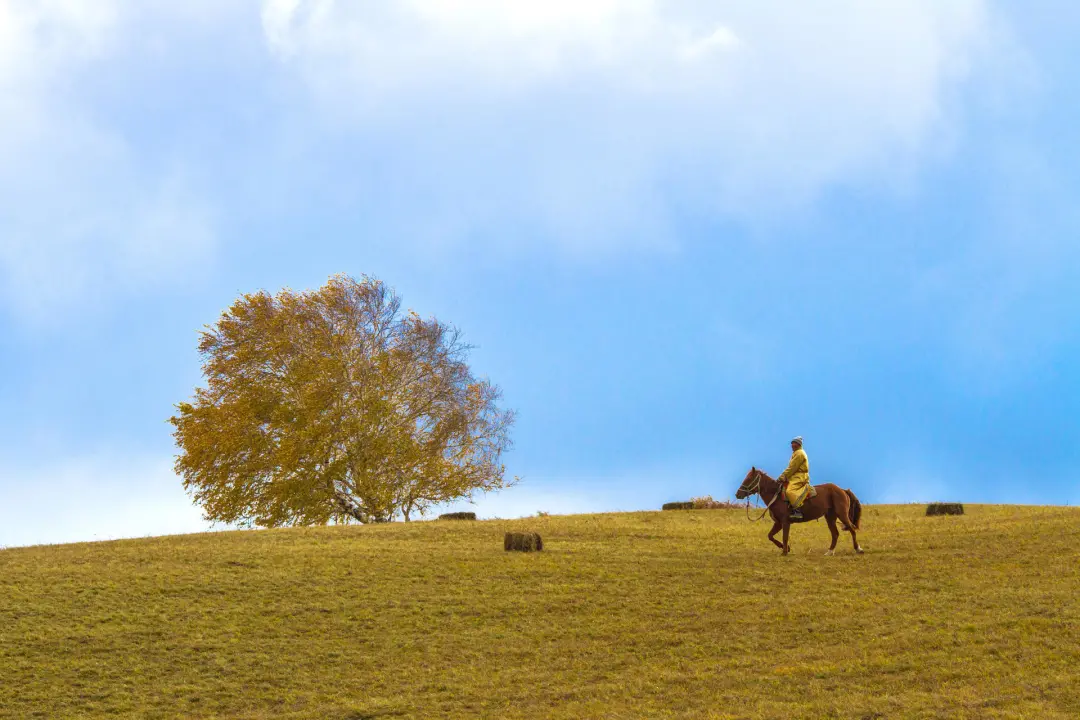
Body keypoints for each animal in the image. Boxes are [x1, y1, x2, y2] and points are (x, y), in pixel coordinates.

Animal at [730, 468, 864, 557]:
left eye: (748, 479)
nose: (738, 494)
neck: (777, 496)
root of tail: (842, 490)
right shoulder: (778, 523)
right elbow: (770, 536)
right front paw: (786, 549)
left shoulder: (785, 522)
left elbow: (784, 537)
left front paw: (784, 551)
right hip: (830, 517)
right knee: (835, 534)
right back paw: (830, 551)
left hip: (842, 515)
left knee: (852, 529)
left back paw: (858, 549)